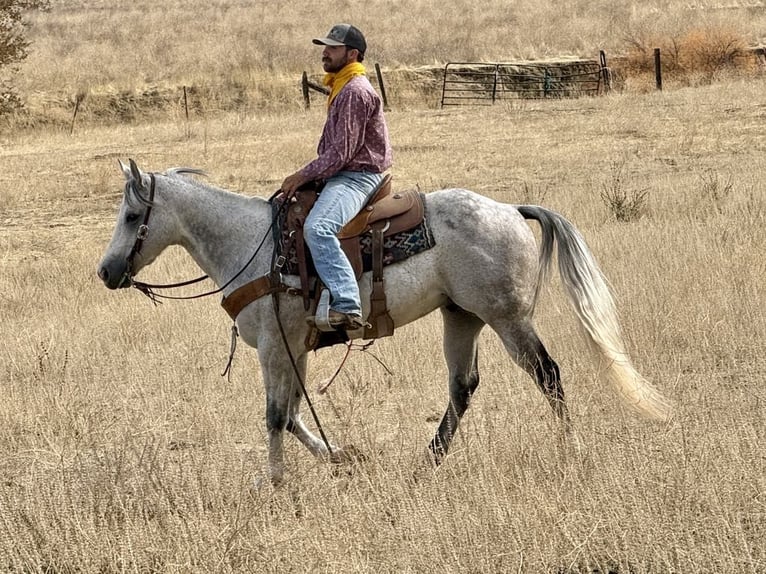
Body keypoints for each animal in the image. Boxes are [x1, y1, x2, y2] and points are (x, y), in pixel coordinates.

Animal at [97, 159, 671, 485]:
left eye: (131, 216)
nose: (105, 271)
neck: (252, 245)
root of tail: (510, 209)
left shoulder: (274, 347)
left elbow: (275, 416)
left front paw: (276, 484)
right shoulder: (295, 347)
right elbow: (293, 415)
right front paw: (341, 459)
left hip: (508, 319)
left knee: (548, 375)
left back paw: (570, 450)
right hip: (461, 318)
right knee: (463, 387)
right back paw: (426, 465)